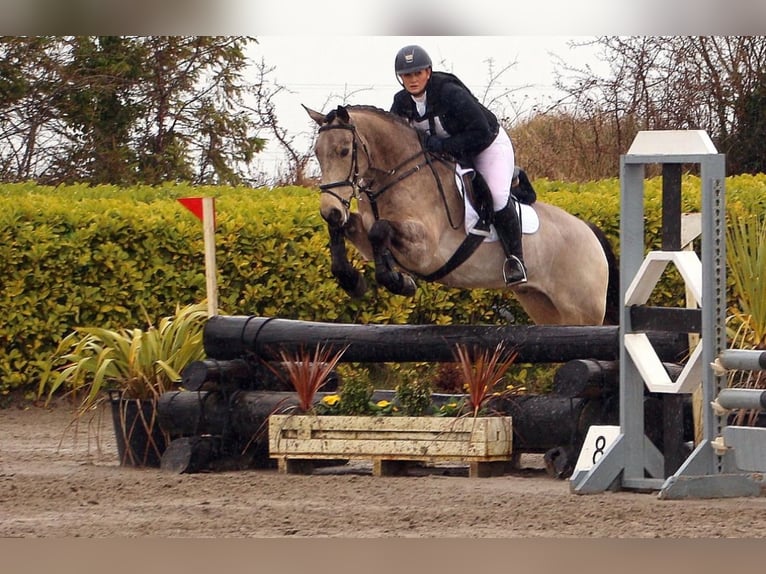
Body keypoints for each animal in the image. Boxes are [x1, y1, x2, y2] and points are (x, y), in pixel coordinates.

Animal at [304, 104, 620, 328]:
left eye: (344, 151)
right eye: (317, 153)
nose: (330, 210)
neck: (397, 176)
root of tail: (589, 231)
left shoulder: (426, 250)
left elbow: (380, 229)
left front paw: (398, 282)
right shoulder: (371, 242)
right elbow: (352, 230)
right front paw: (352, 280)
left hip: (582, 311)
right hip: (543, 305)